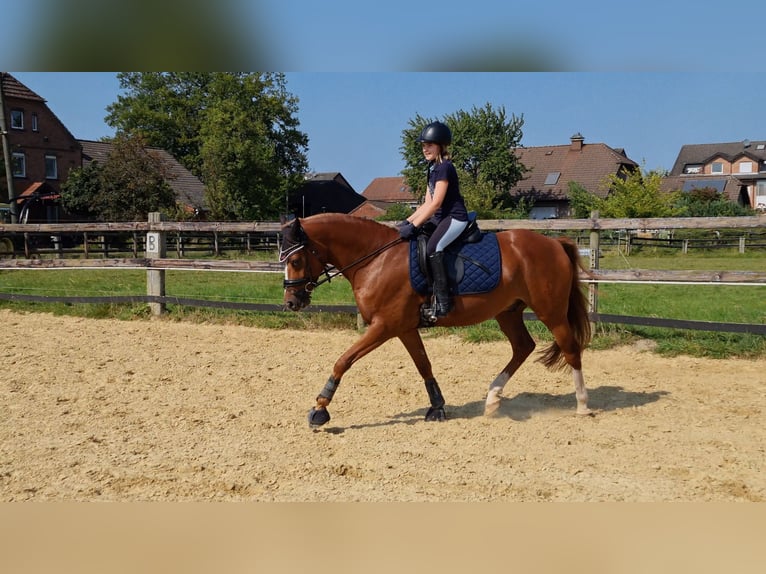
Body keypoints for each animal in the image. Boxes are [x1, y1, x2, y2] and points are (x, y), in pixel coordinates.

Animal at [280, 214, 592, 430]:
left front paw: (320, 408)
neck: (377, 259)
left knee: (570, 348)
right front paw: (438, 407)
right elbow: (424, 365)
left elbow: (343, 360)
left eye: (295, 261)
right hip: (509, 312)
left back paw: (582, 405)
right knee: (523, 347)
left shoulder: (384, 326)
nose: (291, 302)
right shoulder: (404, 328)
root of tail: (554, 243)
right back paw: (492, 399)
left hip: (550, 311)